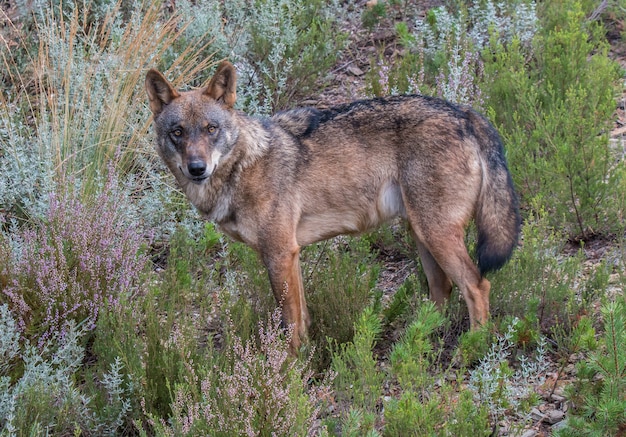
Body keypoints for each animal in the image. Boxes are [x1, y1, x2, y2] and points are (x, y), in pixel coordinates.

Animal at [145, 60, 516, 350]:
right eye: (178, 132)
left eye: (211, 129)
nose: (197, 168)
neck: (242, 166)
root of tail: (464, 112)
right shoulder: (290, 255)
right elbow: (303, 318)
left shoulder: (279, 254)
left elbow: (290, 324)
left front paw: (289, 373)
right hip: (422, 234)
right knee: (443, 288)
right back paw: (418, 340)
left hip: (435, 234)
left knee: (477, 285)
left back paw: (470, 349)